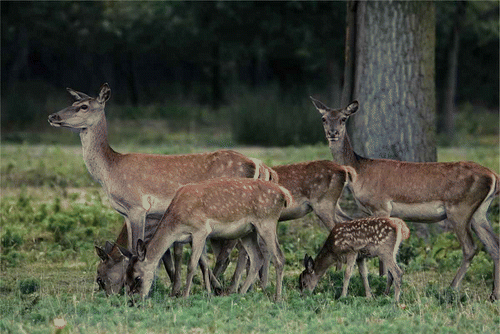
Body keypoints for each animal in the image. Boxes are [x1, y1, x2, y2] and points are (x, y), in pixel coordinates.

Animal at [46, 83, 278, 294]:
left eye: (83, 106)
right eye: (72, 103)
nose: (52, 116)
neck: (111, 171)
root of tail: (256, 164)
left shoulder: (138, 207)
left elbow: (135, 247)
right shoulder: (127, 213)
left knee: (242, 249)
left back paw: (237, 288)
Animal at [122, 177, 292, 300]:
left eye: (137, 277)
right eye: (126, 276)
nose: (134, 300)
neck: (176, 224)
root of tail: (285, 194)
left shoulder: (200, 230)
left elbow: (192, 264)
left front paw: (185, 296)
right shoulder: (193, 238)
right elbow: (203, 263)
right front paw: (209, 293)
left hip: (267, 221)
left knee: (279, 257)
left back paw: (277, 297)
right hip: (248, 231)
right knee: (257, 257)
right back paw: (240, 293)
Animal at [310, 98, 498, 302]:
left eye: (343, 118)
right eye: (324, 118)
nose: (333, 133)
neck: (359, 174)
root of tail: (493, 176)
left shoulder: (381, 205)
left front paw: (384, 288)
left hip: (460, 208)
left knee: (471, 248)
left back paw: (451, 289)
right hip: (479, 212)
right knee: (494, 246)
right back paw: (493, 294)